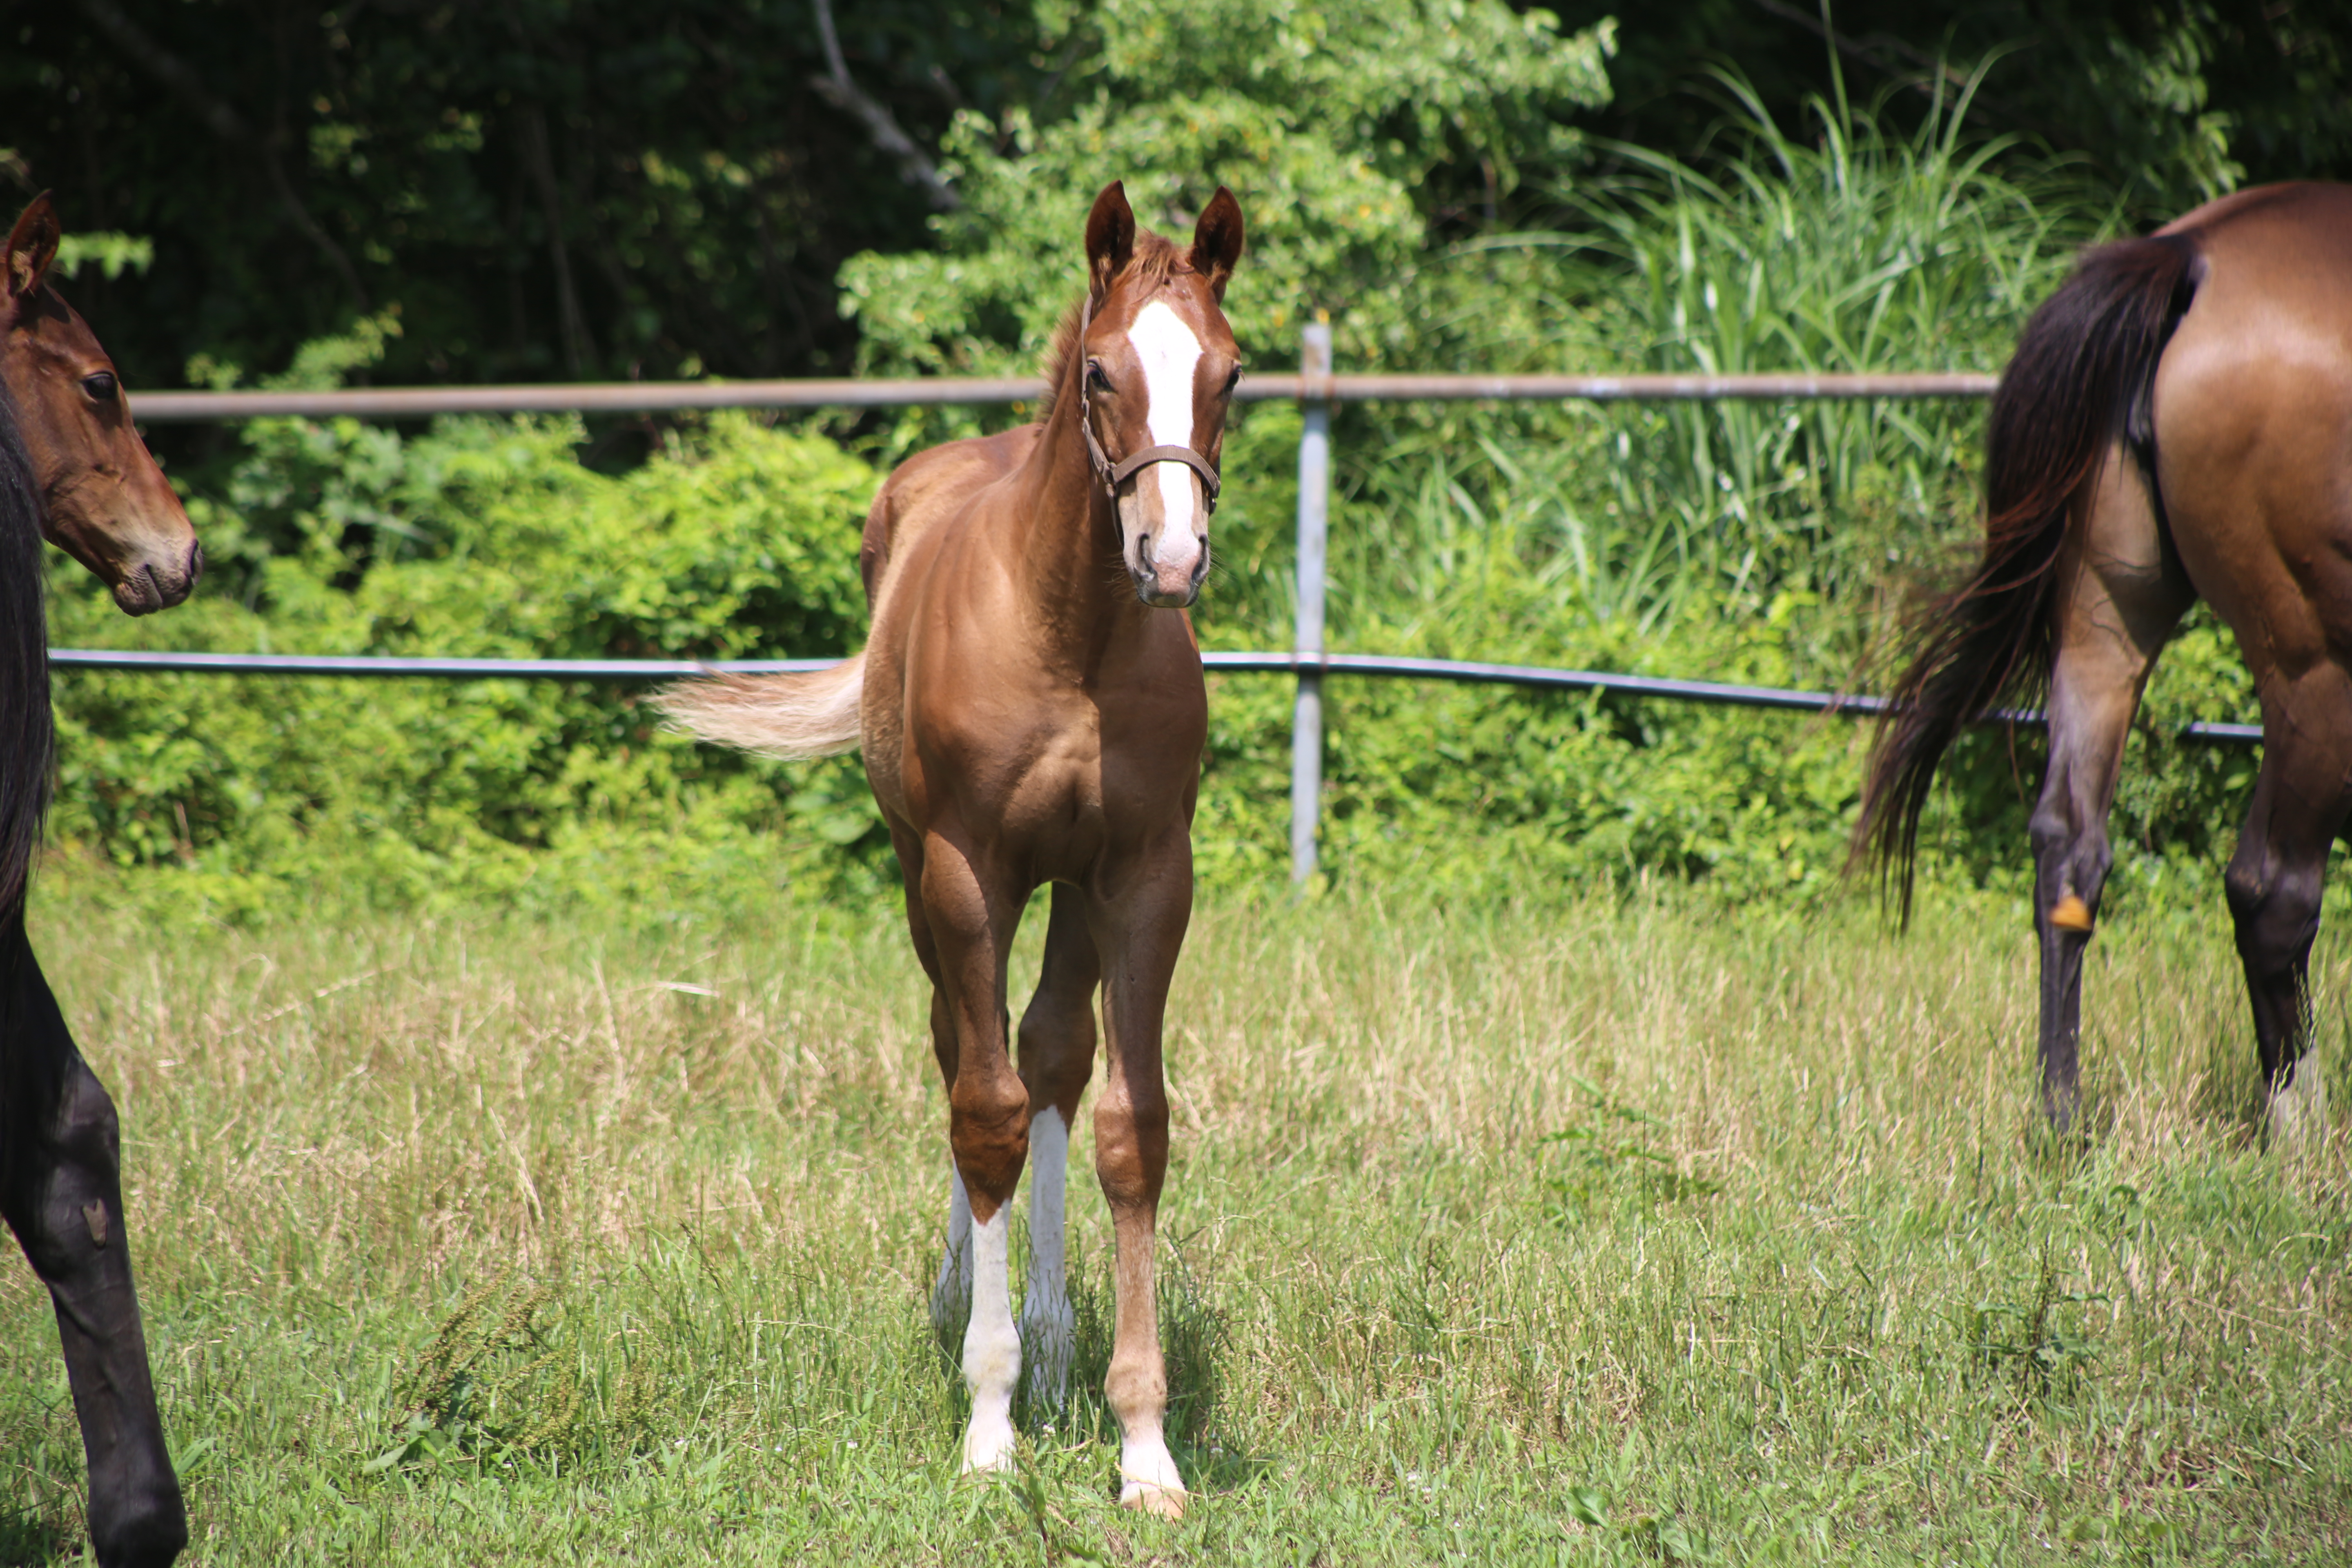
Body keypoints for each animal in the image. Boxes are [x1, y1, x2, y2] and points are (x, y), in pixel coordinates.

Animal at [668, 177, 1251, 1514]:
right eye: (1099, 371)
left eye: (1231, 373)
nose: (1171, 558)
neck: (1068, 631)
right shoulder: (965, 867)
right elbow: (980, 1107)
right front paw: (987, 1423)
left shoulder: (1147, 876)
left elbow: (1127, 1124)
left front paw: (1142, 1441)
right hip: (918, 870)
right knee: (958, 1050)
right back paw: (964, 1309)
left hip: (1070, 892)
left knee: (1050, 1058)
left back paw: (1051, 1340)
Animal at [1853, 184, 2352, 1147]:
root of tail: (2196, 256)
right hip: (2316, 662)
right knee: (2273, 891)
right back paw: (2300, 1133)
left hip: (2106, 621)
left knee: (2069, 846)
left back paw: (2063, 1117)